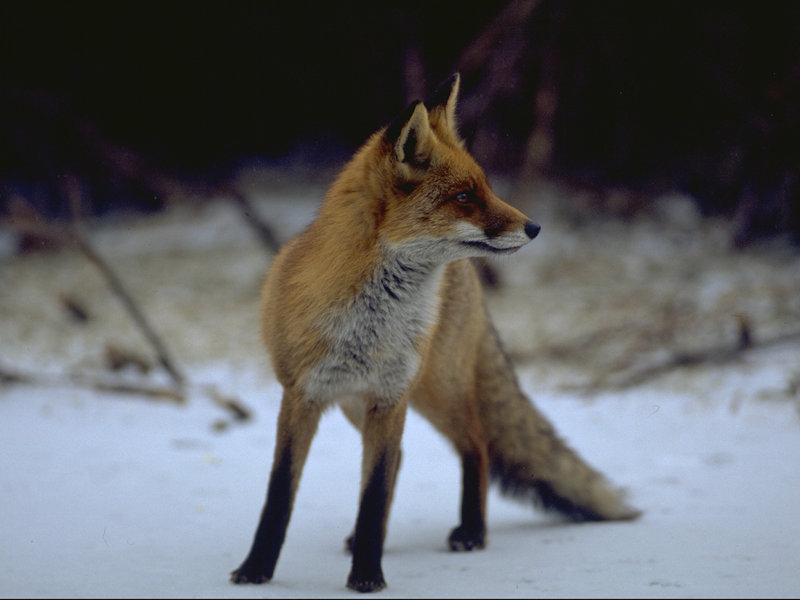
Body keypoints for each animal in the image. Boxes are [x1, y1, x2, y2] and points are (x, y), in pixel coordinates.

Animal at [230, 73, 640, 593]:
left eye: (486, 188)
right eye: (465, 197)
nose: (534, 227)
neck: (369, 321)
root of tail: (465, 276)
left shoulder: (390, 396)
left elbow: (373, 492)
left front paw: (367, 576)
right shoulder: (302, 395)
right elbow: (281, 494)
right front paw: (256, 569)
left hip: (435, 390)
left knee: (476, 444)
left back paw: (472, 532)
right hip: (363, 403)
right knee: (404, 458)